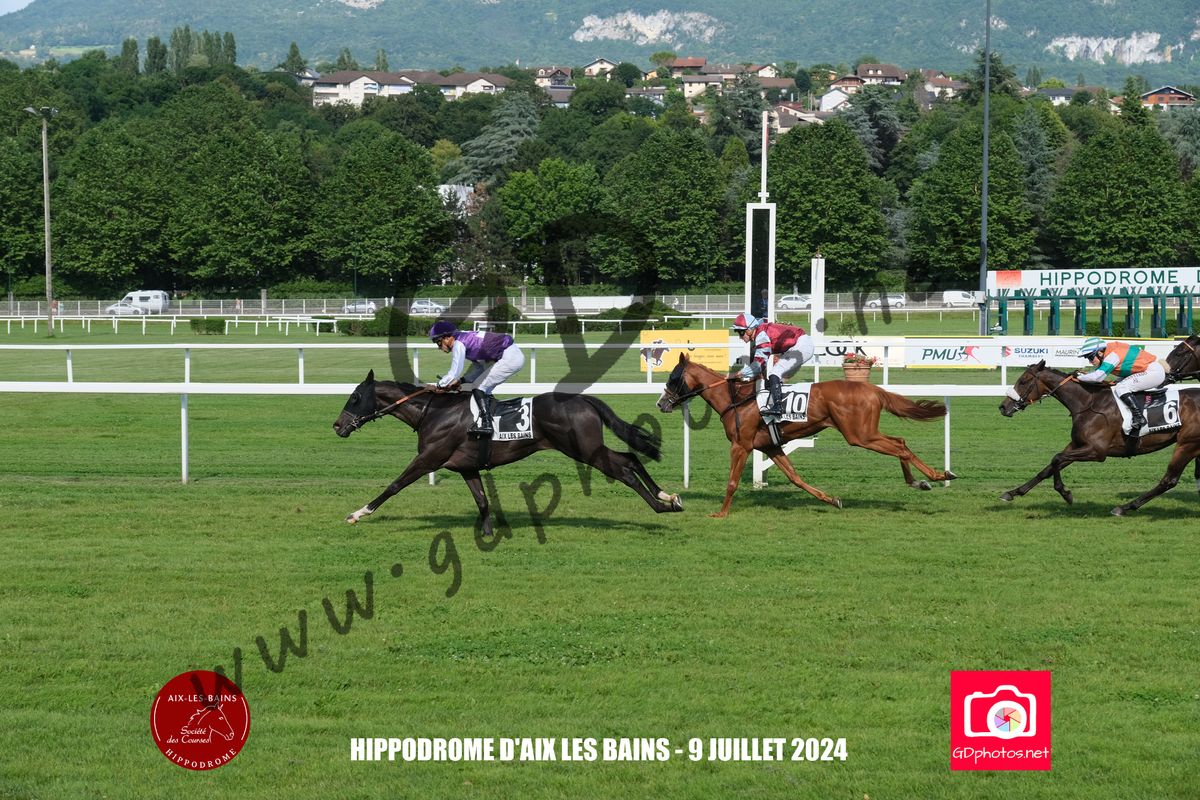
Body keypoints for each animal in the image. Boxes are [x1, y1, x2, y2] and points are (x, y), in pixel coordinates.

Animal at [333, 370, 683, 533]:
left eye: (354, 398)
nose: (337, 426)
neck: (432, 413)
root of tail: (584, 399)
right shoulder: (466, 466)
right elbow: (482, 499)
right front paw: (489, 531)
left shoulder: (429, 458)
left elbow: (394, 485)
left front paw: (358, 513)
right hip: (588, 448)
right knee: (631, 458)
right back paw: (669, 498)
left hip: (584, 450)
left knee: (623, 468)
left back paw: (662, 506)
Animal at [655, 354, 956, 516]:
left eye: (672, 378)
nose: (661, 403)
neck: (735, 400)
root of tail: (873, 389)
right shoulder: (771, 447)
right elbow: (796, 478)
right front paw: (831, 499)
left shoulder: (741, 445)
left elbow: (731, 482)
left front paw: (721, 512)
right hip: (865, 433)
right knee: (900, 442)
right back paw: (920, 482)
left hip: (859, 434)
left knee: (900, 446)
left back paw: (937, 475)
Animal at [998, 360, 1200, 515]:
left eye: (1023, 381)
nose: (1003, 407)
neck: (1088, 403)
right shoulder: (1077, 444)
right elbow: (1048, 468)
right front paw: (1013, 492)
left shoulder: (1097, 451)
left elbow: (1056, 458)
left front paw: (1065, 493)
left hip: (1187, 444)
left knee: (1168, 480)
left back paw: (1124, 508)